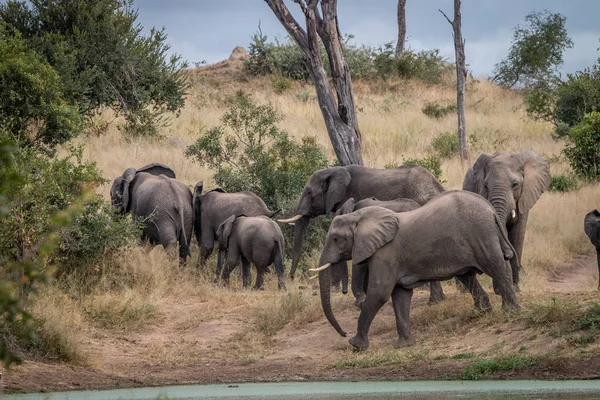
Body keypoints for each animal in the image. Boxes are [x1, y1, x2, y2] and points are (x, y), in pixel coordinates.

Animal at [314, 191, 520, 350]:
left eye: (336, 239)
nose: (343, 333)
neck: (360, 217)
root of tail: (490, 208)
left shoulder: (386, 254)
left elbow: (379, 293)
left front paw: (356, 345)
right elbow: (400, 296)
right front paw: (403, 346)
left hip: (481, 234)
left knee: (496, 266)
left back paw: (510, 311)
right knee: (467, 275)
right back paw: (482, 312)